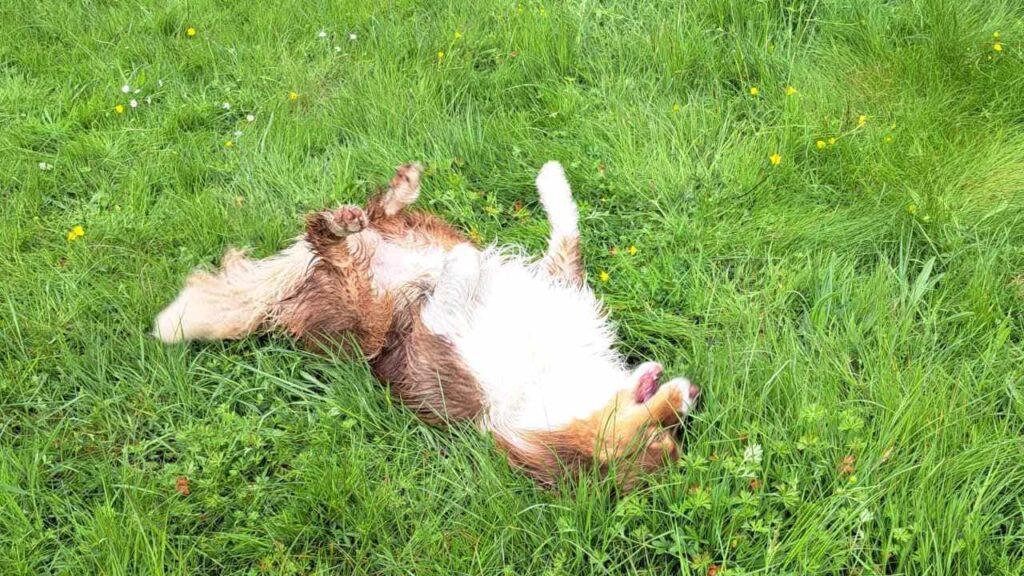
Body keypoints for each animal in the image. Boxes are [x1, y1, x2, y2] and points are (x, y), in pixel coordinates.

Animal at [151, 161, 700, 483]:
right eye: (664, 430)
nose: (694, 393)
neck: (552, 382)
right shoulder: (560, 281)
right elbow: (567, 224)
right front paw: (551, 175)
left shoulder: (443, 333)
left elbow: (468, 265)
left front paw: (445, 271)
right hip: (405, 236)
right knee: (376, 213)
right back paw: (396, 192)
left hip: (356, 318)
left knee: (328, 243)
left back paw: (344, 228)